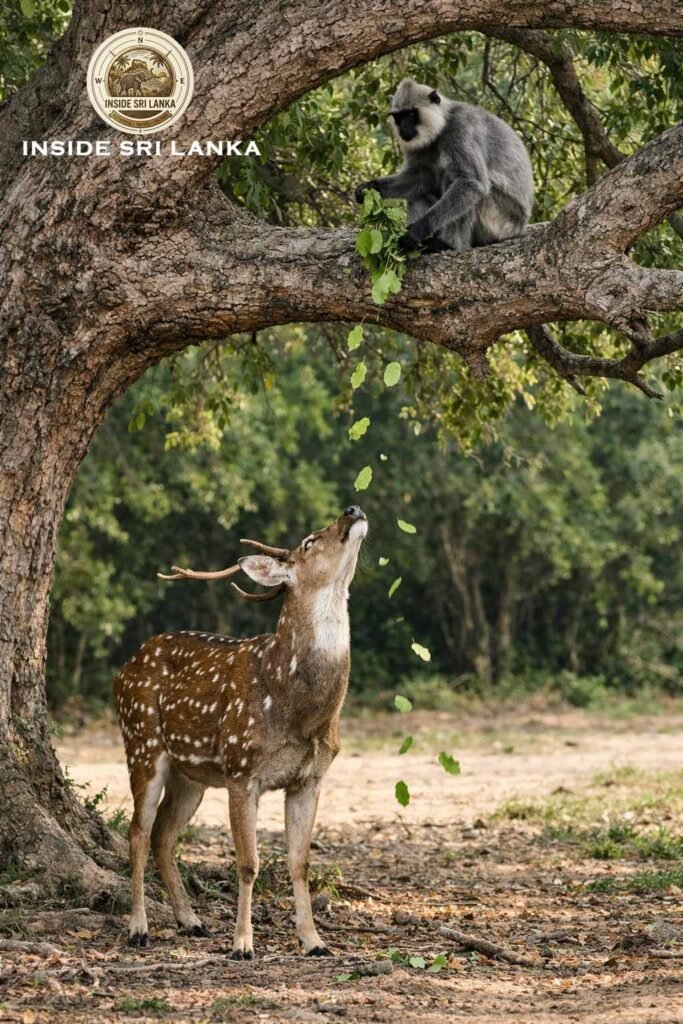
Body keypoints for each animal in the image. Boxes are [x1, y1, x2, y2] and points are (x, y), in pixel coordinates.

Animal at [355, 78, 534, 253]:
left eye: (411, 114)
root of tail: (521, 226)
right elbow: (421, 176)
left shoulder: (459, 128)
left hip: (501, 222)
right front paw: (371, 188)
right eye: (399, 118)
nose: (403, 129)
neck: (443, 124)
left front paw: (419, 230)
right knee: (418, 193)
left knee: (460, 183)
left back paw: (447, 244)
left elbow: (472, 182)